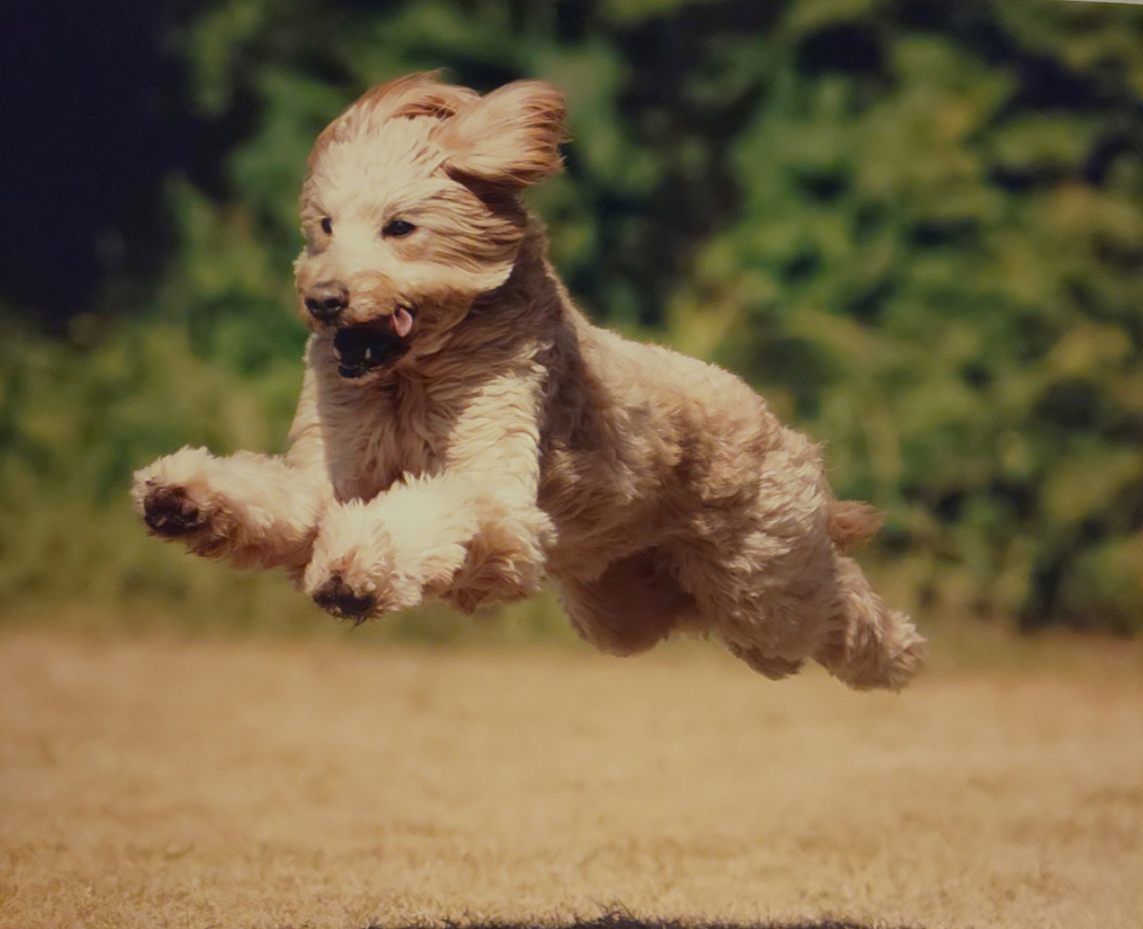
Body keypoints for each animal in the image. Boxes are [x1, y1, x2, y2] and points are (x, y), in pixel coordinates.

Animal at [131, 70, 928, 690]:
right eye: (324, 225)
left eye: (399, 227)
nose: (323, 299)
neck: (411, 380)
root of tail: (778, 424)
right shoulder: (335, 466)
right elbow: (284, 498)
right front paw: (183, 496)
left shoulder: (496, 483)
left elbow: (433, 508)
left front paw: (356, 568)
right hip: (626, 608)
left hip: (763, 578)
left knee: (832, 606)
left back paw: (900, 655)